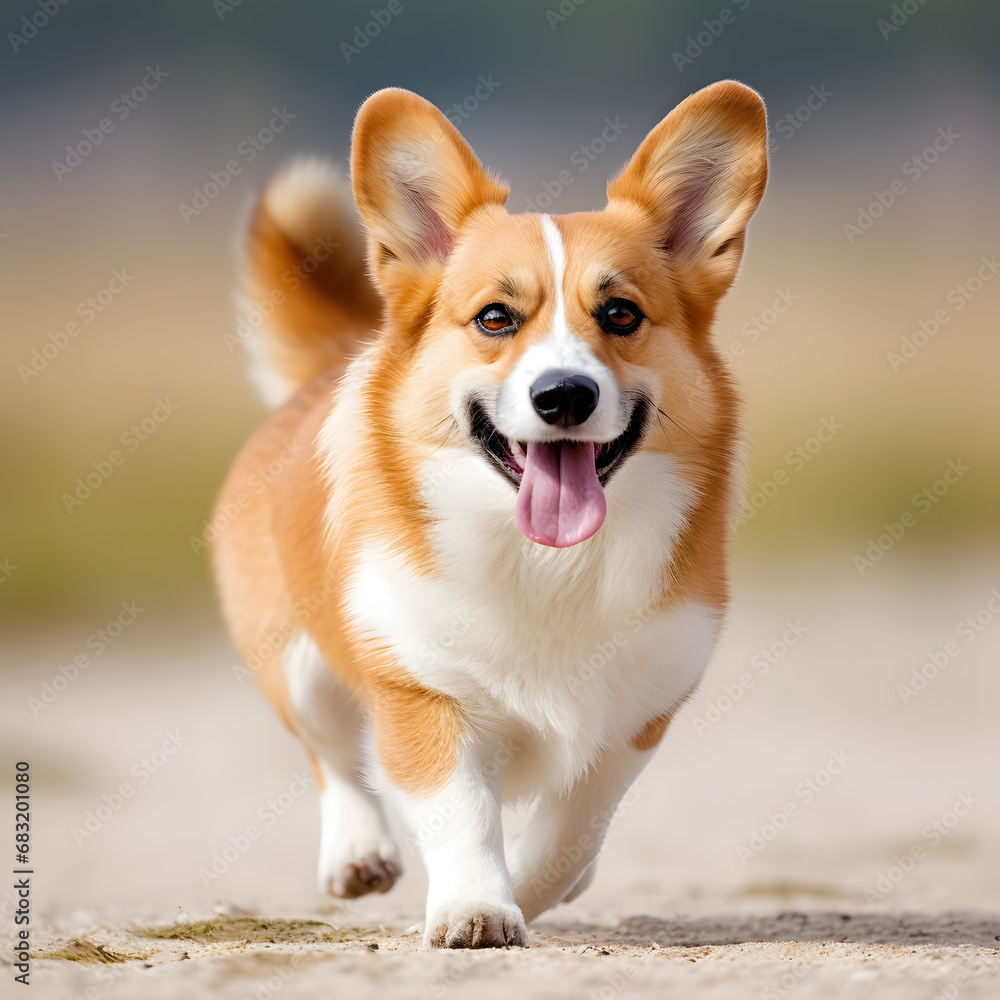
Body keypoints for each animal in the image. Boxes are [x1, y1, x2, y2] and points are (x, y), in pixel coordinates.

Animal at [215, 82, 768, 948]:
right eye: (495, 319)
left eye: (620, 314)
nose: (564, 396)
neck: (546, 563)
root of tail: (339, 359)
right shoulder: (422, 697)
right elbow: (461, 816)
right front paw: (475, 907)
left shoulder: (637, 718)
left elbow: (571, 830)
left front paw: (537, 889)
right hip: (297, 662)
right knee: (332, 758)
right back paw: (358, 850)